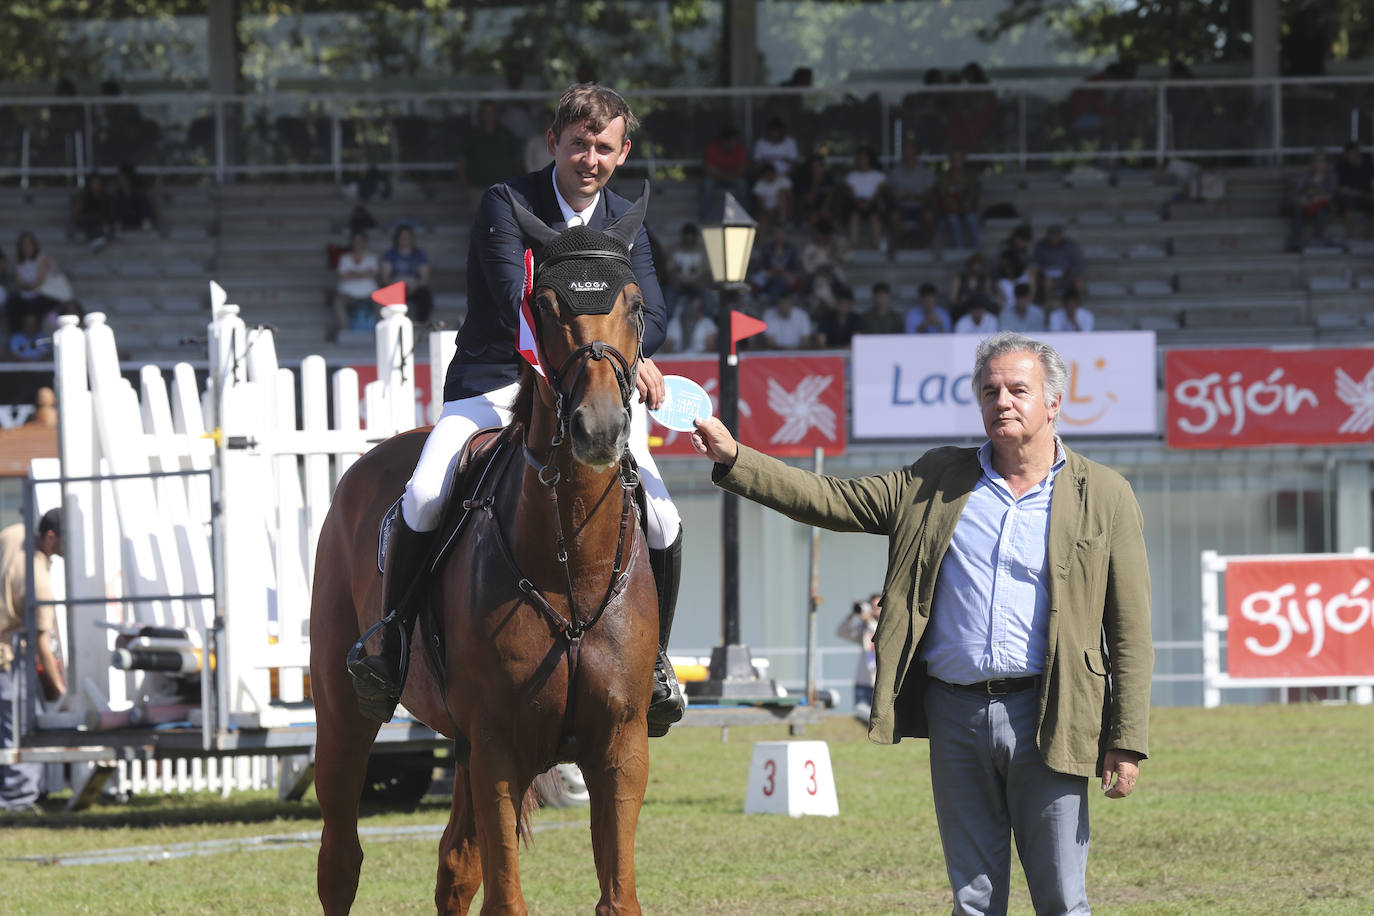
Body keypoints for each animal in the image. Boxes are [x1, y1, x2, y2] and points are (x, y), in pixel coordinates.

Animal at [307, 189, 659, 911]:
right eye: (542, 306)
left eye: (637, 305)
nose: (599, 429)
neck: (569, 564)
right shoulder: (499, 746)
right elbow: (506, 898)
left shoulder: (620, 745)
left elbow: (617, 895)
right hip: (344, 714)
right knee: (340, 860)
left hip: (464, 748)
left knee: (455, 865)